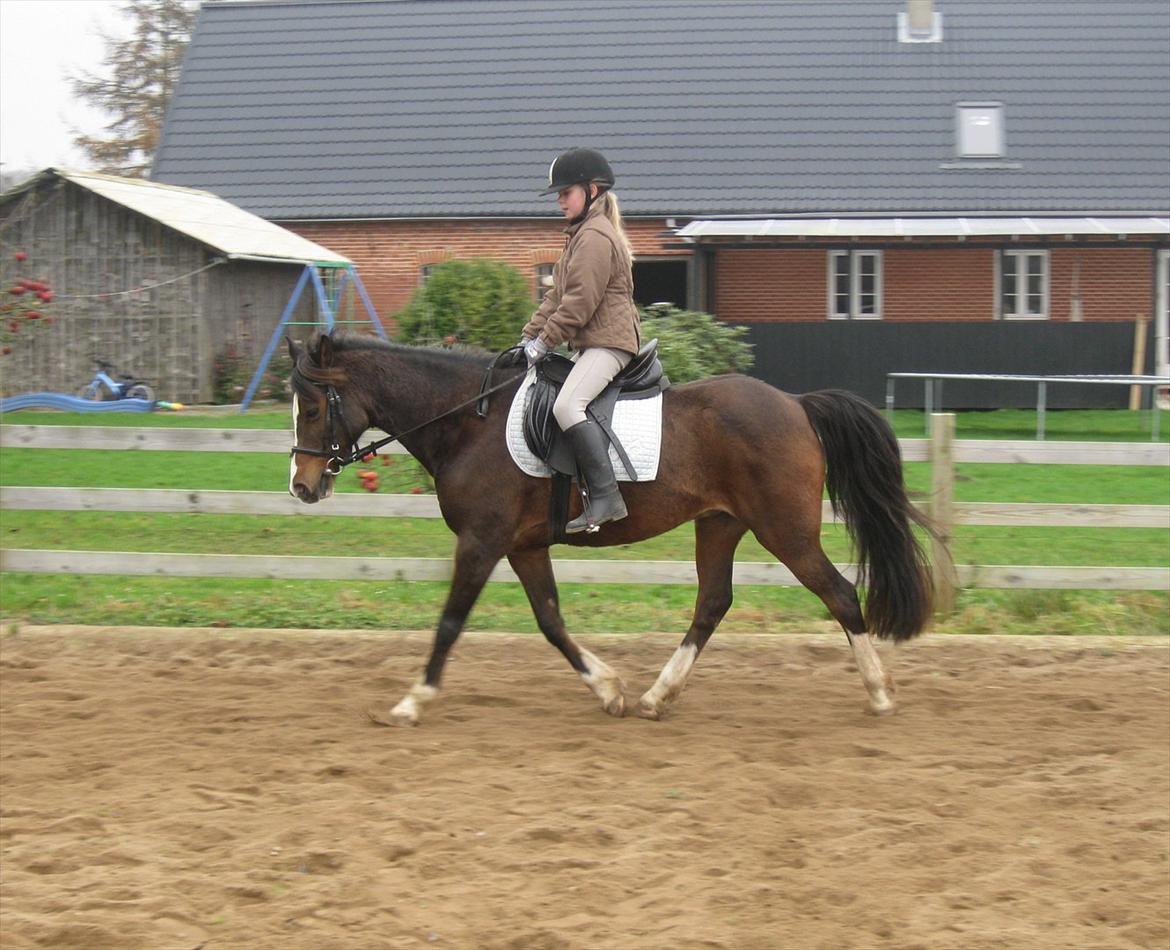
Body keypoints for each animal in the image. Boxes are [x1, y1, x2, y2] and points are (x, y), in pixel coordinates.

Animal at [283, 334, 931, 725]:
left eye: (312, 408)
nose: (302, 486)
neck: (469, 422)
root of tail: (797, 403)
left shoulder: (482, 543)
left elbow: (449, 623)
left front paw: (411, 703)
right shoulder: (523, 547)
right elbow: (550, 622)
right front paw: (608, 687)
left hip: (785, 531)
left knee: (839, 594)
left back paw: (880, 693)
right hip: (719, 525)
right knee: (712, 602)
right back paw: (655, 695)